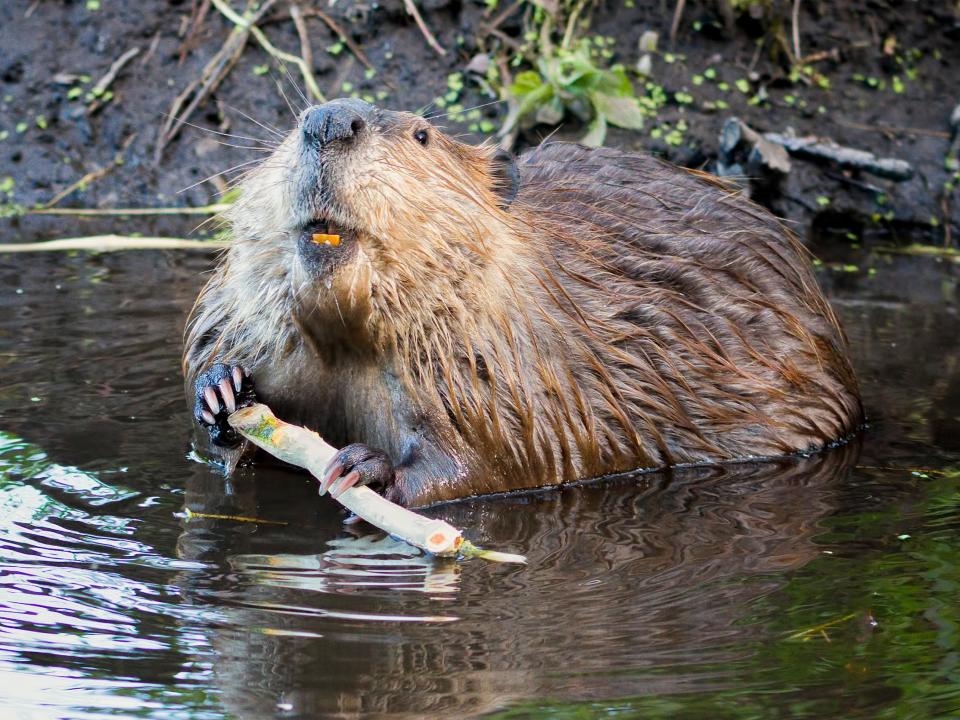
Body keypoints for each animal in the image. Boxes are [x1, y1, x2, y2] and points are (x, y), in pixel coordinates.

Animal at [182, 98, 864, 510]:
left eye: (422, 134)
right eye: (294, 124)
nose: (328, 121)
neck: (349, 338)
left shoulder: (509, 374)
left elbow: (497, 460)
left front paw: (365, 468)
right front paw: (223, 391)